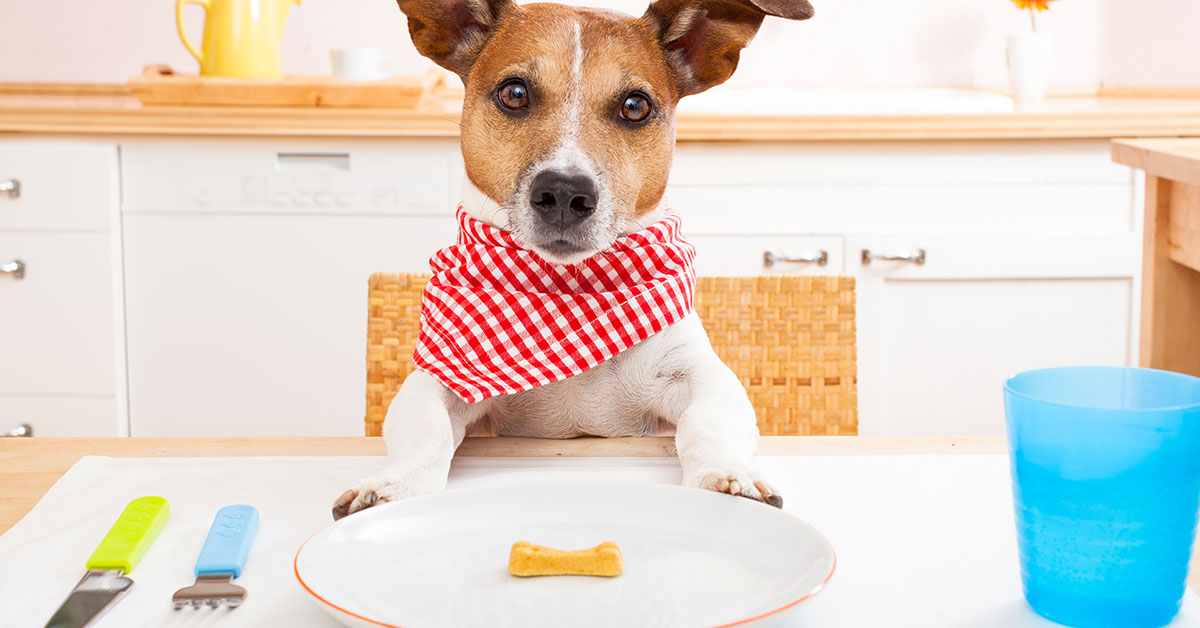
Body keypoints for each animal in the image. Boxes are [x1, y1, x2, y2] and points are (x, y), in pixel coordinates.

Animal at [333, 0, 811, 521]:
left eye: (635, 106)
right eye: (515, 93)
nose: (564, 192)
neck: (569, 290)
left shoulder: (698, 377)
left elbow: (708, 421)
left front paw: (726, 476)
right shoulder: (442, 380)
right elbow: (426, 427)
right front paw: (395, 484)